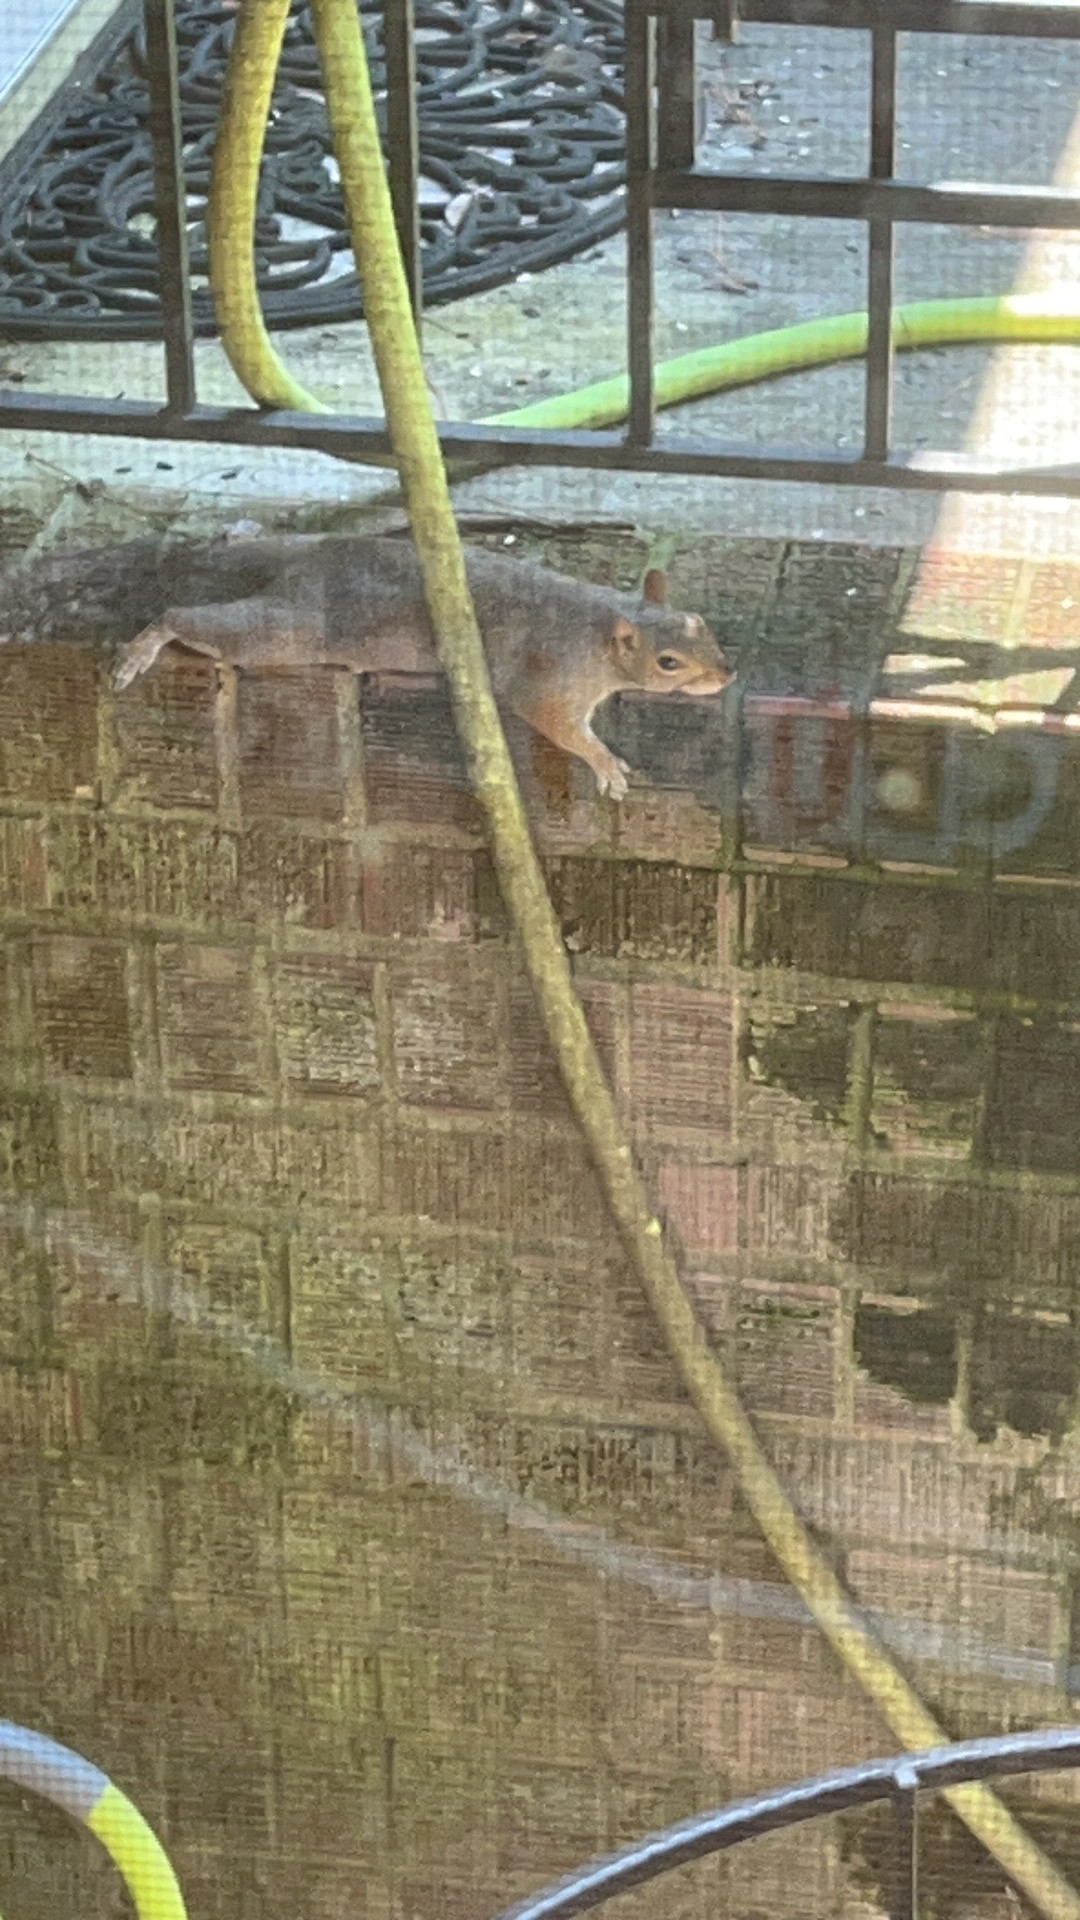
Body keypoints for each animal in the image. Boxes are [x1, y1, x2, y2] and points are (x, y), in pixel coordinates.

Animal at [105, 533, 734, 799]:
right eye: (668, 662)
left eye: (700, 621)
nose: (727, 674)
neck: (597, 627)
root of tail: (310, 555)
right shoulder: (551, 679)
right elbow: (556, 724)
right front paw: (605, 764)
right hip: (287, 630)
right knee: (189, 619)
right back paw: (142, 646)